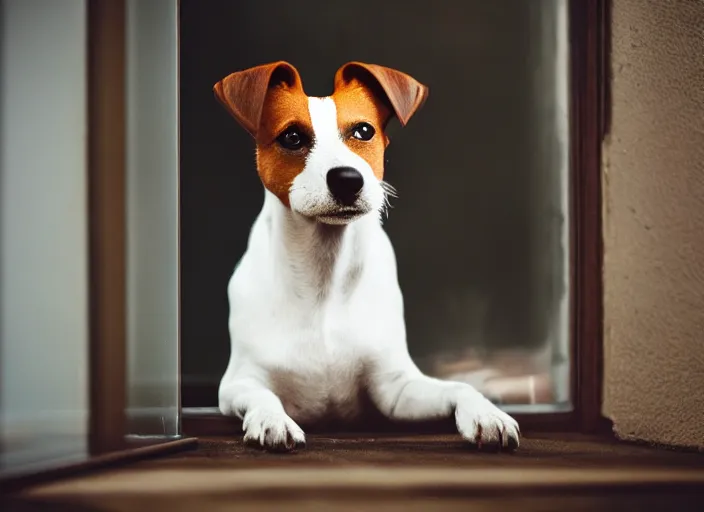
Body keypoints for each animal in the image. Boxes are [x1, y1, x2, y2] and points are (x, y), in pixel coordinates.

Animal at [212, 62, 520, 450]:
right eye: (292, 137)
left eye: (363, 130)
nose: (347, 179)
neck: (325, 277)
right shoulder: (237, 383)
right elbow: (261, 395)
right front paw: (272, 420)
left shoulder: (397, 390)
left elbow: (461, 386)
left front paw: (487, 414)